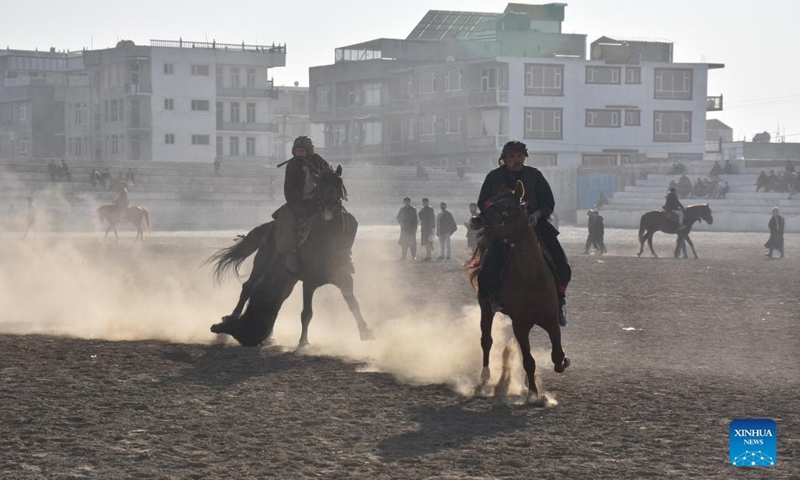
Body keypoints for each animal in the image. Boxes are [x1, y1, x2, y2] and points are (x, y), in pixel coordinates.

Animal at [208, 165, 374, 348]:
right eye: (321, 184)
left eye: (339, 181)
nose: (330, 206)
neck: (325, 241)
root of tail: (270, 226)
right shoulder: (309, 282)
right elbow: (307, 313)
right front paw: (303, 342)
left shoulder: (344, 278)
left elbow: (354, 304)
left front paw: (366, 332)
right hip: (261, 262)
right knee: (247, 287)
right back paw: (234, 315)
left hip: (288, 279)